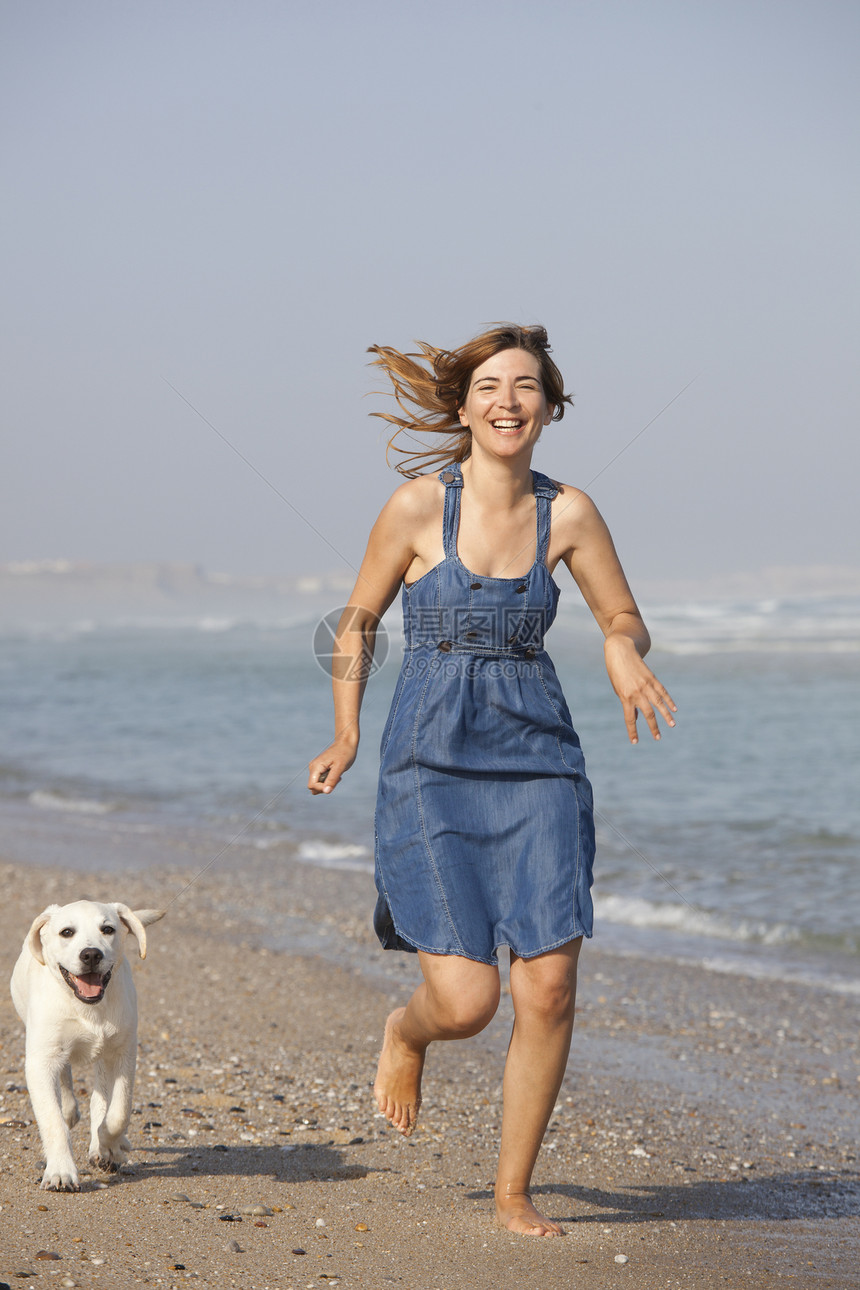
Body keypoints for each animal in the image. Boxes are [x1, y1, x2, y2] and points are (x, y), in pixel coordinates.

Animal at [11, 897, 165, 1186]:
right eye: (66, 932)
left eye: (108, 929)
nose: (91, 954)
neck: (87, 1008)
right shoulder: (40, 1061)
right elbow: (53, 1120)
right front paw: (60, 1171)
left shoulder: (124, 1053)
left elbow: (119, 1111)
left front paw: (107, 1144)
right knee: (66, 1081)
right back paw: (71, 1112)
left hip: (104, 1057)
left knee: (100, 1099)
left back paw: (105, 1147)